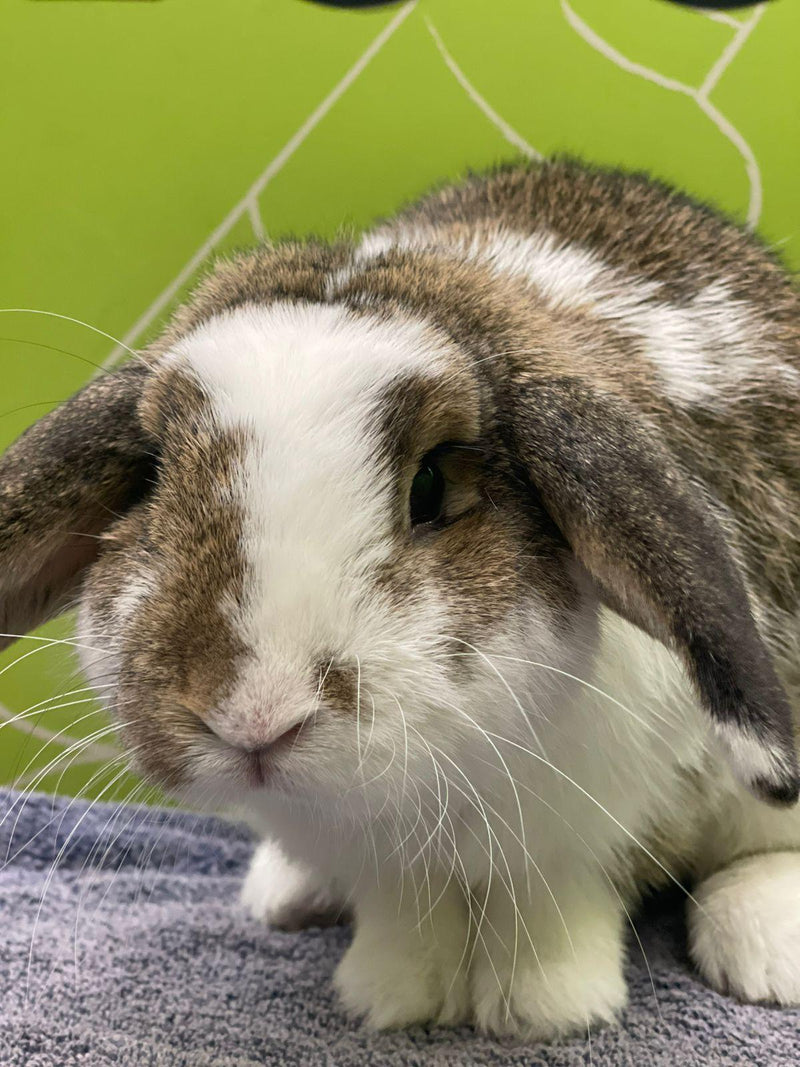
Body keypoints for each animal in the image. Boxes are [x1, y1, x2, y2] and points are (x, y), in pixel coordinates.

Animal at [2, 157, 800, 1040]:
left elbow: (552, 908)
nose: (254, 717)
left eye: (432, 485)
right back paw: (285, 895)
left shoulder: (575, 835)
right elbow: (405, 917)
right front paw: (392, 997)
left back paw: (765, 952)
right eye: (148, 477)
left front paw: (538, 1011)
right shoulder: (384, 860)